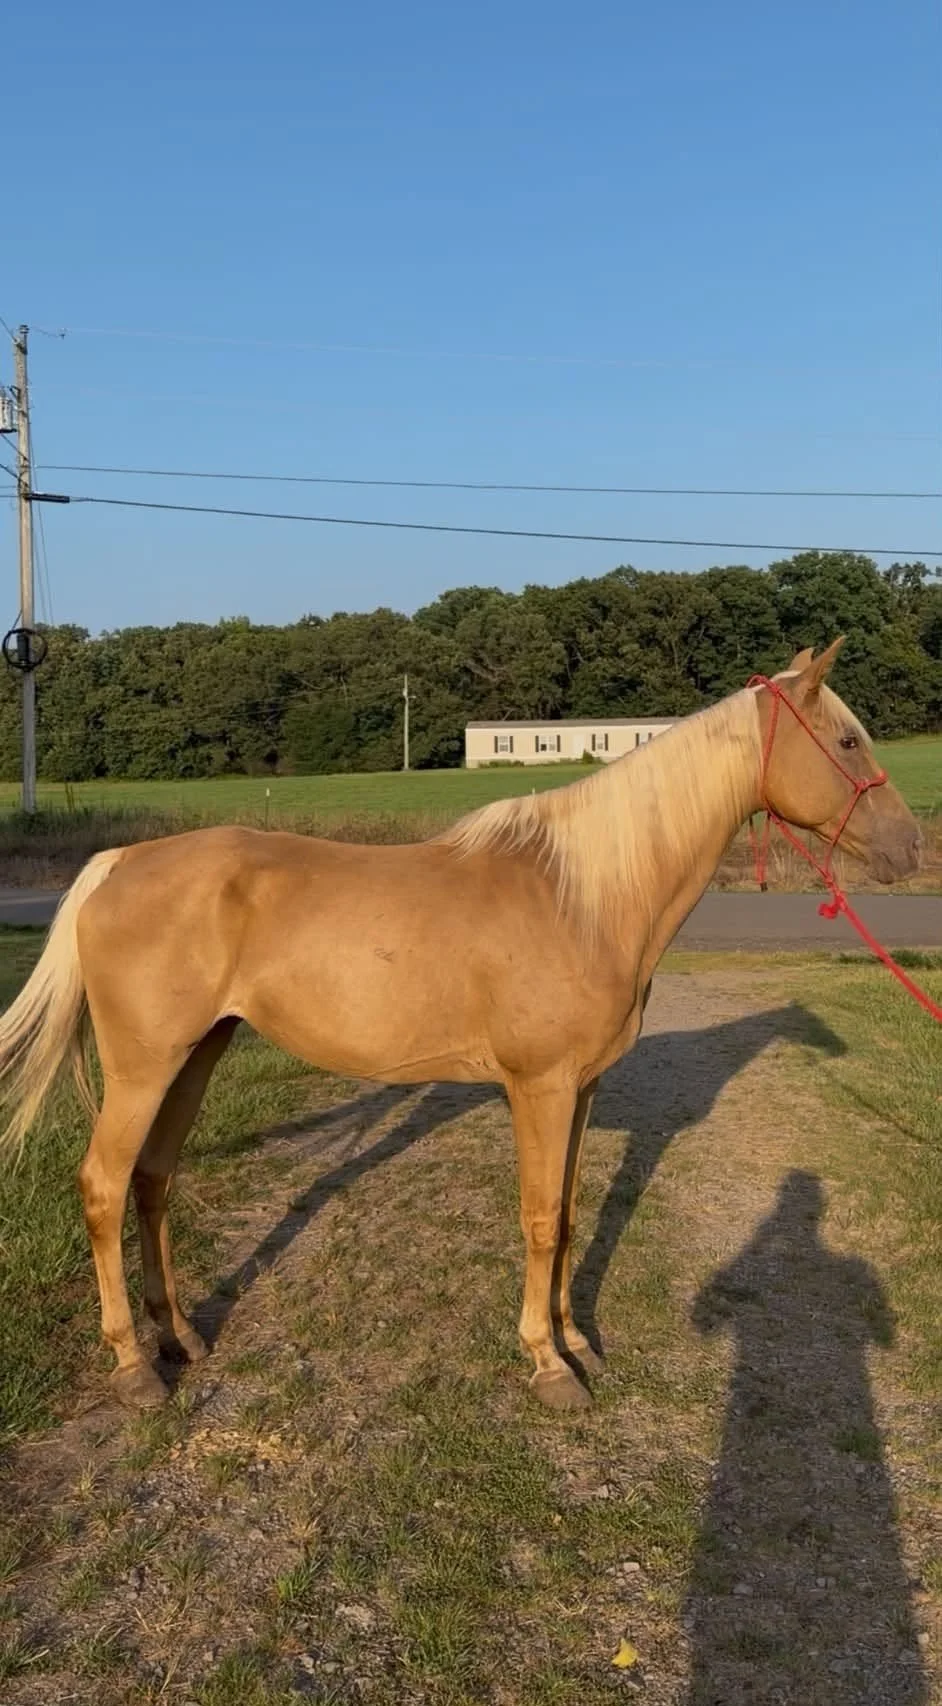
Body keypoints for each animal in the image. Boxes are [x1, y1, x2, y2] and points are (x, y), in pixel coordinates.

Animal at [0, 641, 920, 1414]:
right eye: (847, 741)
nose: (911, 849)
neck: (581, 895)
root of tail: (119, 863)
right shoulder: (540, 1088)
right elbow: (541, 1217)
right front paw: (548, 1364)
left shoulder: (581, 1089)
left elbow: (571, 1213)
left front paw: (577, 1339)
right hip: (143, 1068)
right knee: (104, 1186)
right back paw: (132, 1366)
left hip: (195, 1057)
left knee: (153, 1183)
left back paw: (181, 1336)